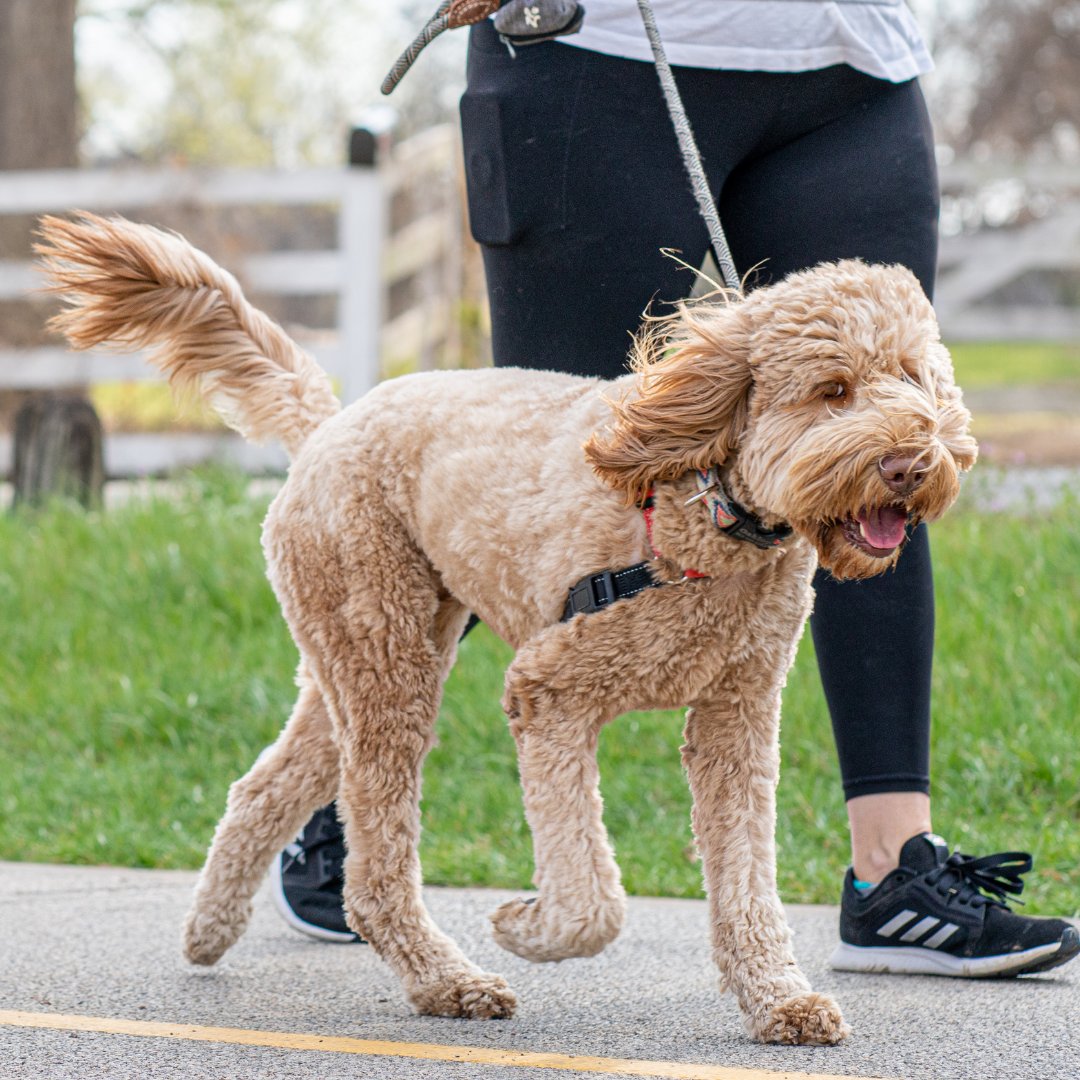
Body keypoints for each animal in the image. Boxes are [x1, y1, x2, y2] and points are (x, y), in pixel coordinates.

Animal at [38, 212, 980, 1045]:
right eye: (833, 390)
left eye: (915, 379)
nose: (912, 462)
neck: (704, 508)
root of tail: (331, 423)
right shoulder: (549, 692)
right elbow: (592, 900)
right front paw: (526, 926)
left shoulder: (736, 720)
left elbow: (747, 879)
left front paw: (779, 999)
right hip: (386, 658)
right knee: (375, 866)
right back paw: (446, 981)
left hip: (369, 655)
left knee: (263, 789)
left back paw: (209, 929)